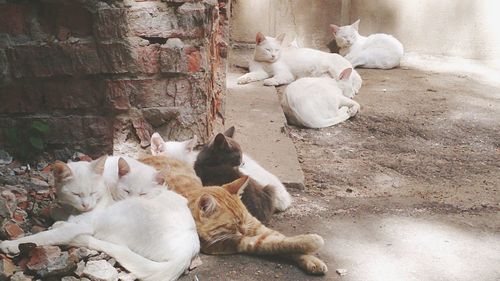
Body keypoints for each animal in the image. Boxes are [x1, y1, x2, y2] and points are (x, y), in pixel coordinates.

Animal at [0, 155, 199, 280]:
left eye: (93, 193)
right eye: (76, 194)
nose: (86, 205)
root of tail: (187, 251)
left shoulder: (85, 224)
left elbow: (45, 236)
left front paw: (11, 245)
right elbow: (62, 214)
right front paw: (60, 216)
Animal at [140, 153, 328, 274]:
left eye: (243, 220)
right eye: (233, 224)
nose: (244, 230)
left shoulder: (257, 226)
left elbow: (283, 239)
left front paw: (312, 259)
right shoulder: (228, 243)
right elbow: (274, 243)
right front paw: (313, 240)